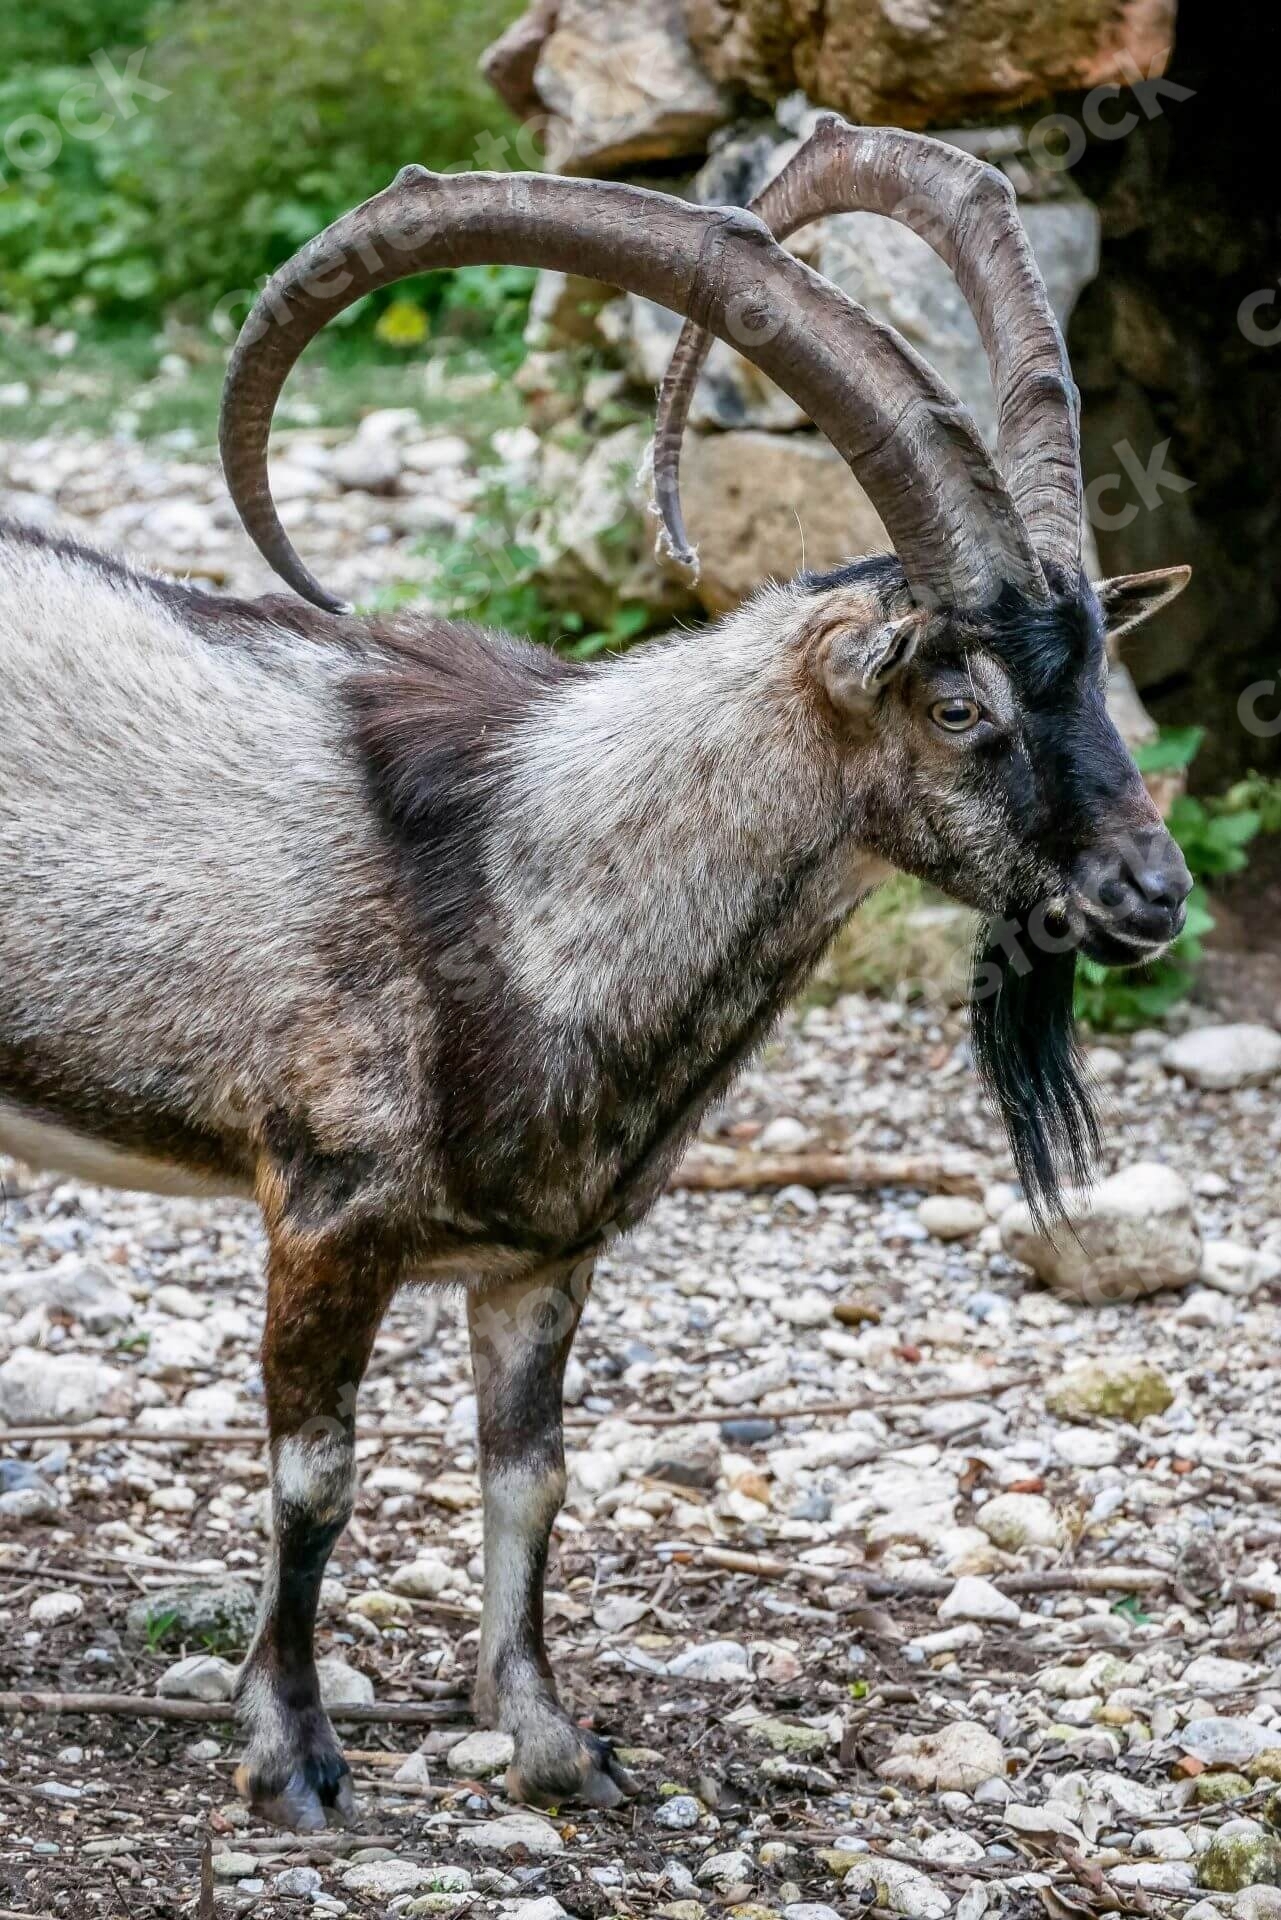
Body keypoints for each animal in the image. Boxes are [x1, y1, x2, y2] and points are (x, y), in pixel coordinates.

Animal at [5, 120, 1198, 1827]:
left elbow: (534, 1479)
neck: (533, 875)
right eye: (958, 703)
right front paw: (292, 1756)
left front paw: (555, 1743)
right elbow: (315, 1480)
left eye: (1098, 670)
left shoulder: (542, 1258)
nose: (1149, 894)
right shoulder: (322, 1209)